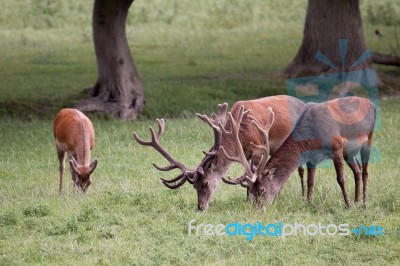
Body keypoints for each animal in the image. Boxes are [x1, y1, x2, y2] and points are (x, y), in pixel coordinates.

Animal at [134, 95, 306, 210]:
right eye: (194, 186)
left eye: (205, 183)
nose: (201, 207)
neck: (241, 133)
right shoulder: (245, 154)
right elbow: (248, 176)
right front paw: (249, 198)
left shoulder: (258, 148)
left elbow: (252, 175)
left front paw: (251, 200)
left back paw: (303, 194)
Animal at [223, 96, 376, 209]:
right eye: (251, 192)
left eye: (262, 190)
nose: (257, 209)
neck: (314, 137)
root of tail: (372, 104)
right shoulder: (312, 158)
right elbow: (310, 181)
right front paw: (308, 204)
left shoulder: (336, 147)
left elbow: (340, 179)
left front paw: (347, 205)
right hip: (349, 153)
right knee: (357, 169)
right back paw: (357, 200)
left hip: (368, 139)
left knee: (365, 171)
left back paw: (363, 203)